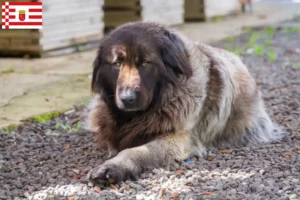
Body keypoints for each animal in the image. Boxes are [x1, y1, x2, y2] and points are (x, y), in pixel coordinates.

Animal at [85, 21, 284, 183]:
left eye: (146, 64)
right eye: (117, 64)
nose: (128, 98)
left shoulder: (179, 139)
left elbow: (136, 151)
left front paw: (114, 167)